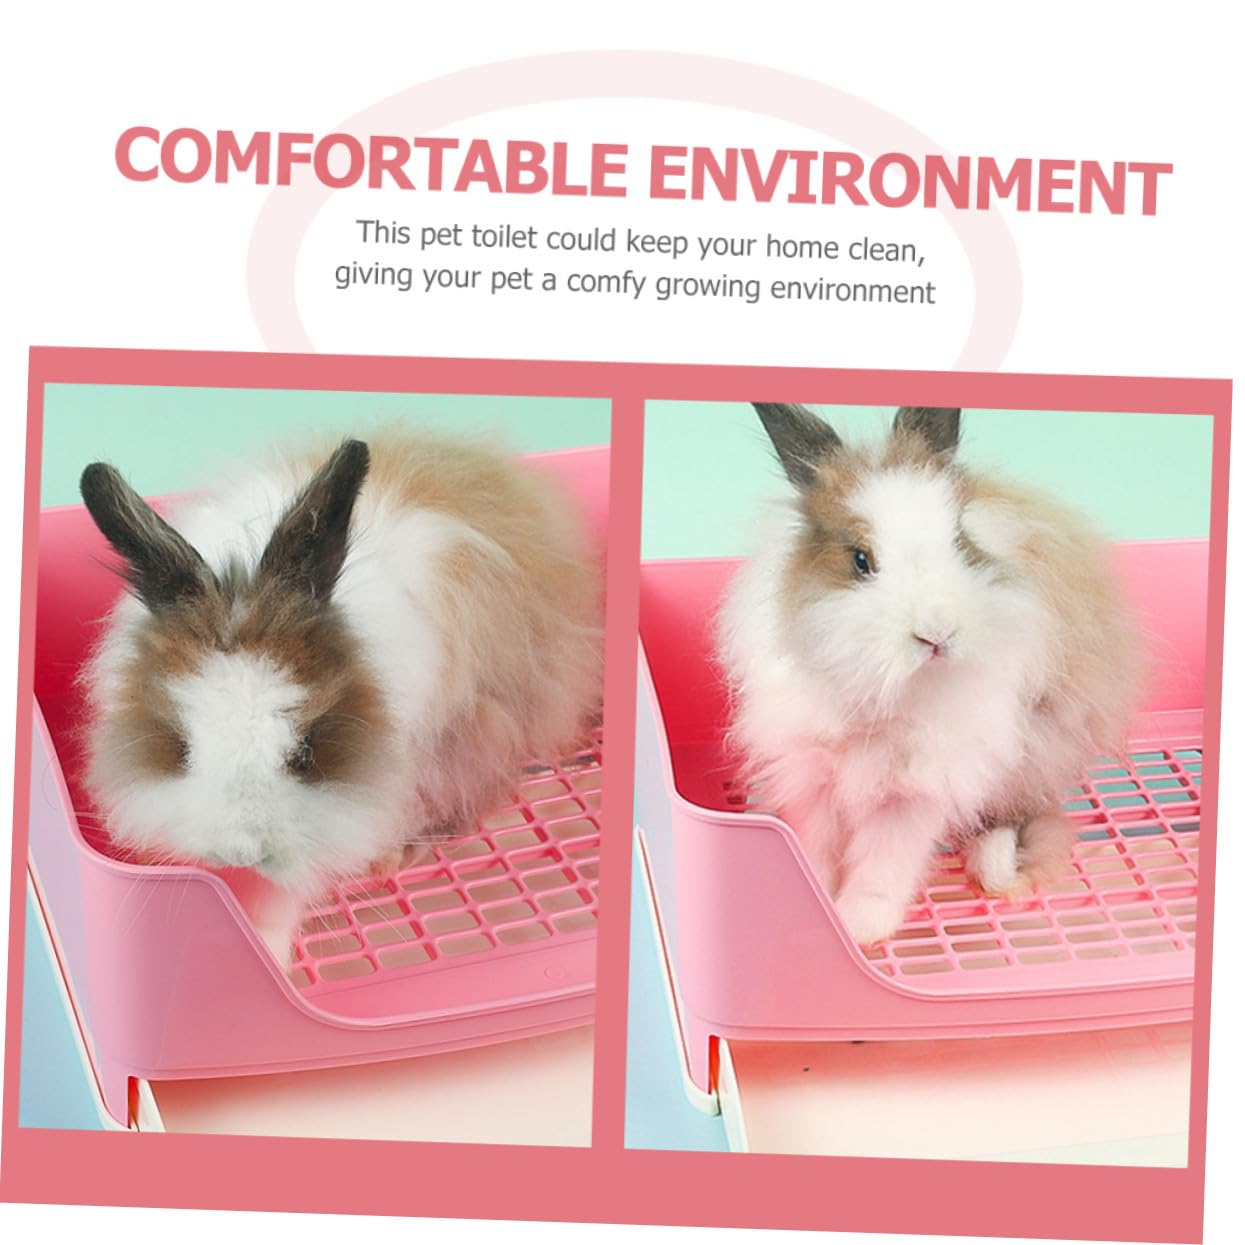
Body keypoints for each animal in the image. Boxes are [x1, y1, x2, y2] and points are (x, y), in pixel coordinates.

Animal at [716, 403, 1144, 947]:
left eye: (961, 543)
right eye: (860, 560)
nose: (937, 634)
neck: (890, 691)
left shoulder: (916, 791)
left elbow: (885, 862)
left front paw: (859, 926)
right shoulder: (811, 774)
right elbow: (816, 847)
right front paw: (818, 901)